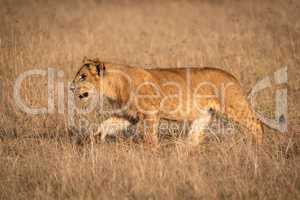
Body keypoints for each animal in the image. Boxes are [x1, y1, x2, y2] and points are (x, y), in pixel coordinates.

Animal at [69, 57, 262, 147]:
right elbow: (105, 125)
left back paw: (257, 147)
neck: (114, 86)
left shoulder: (150, 114)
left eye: (83, 76)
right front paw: (95, 139)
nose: (70, 88)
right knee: (195, 137)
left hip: (235, 107)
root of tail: (232, 77)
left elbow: (150, 138)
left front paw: (153, 153)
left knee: (256, 124)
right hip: (204, 115)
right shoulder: (128, 115)